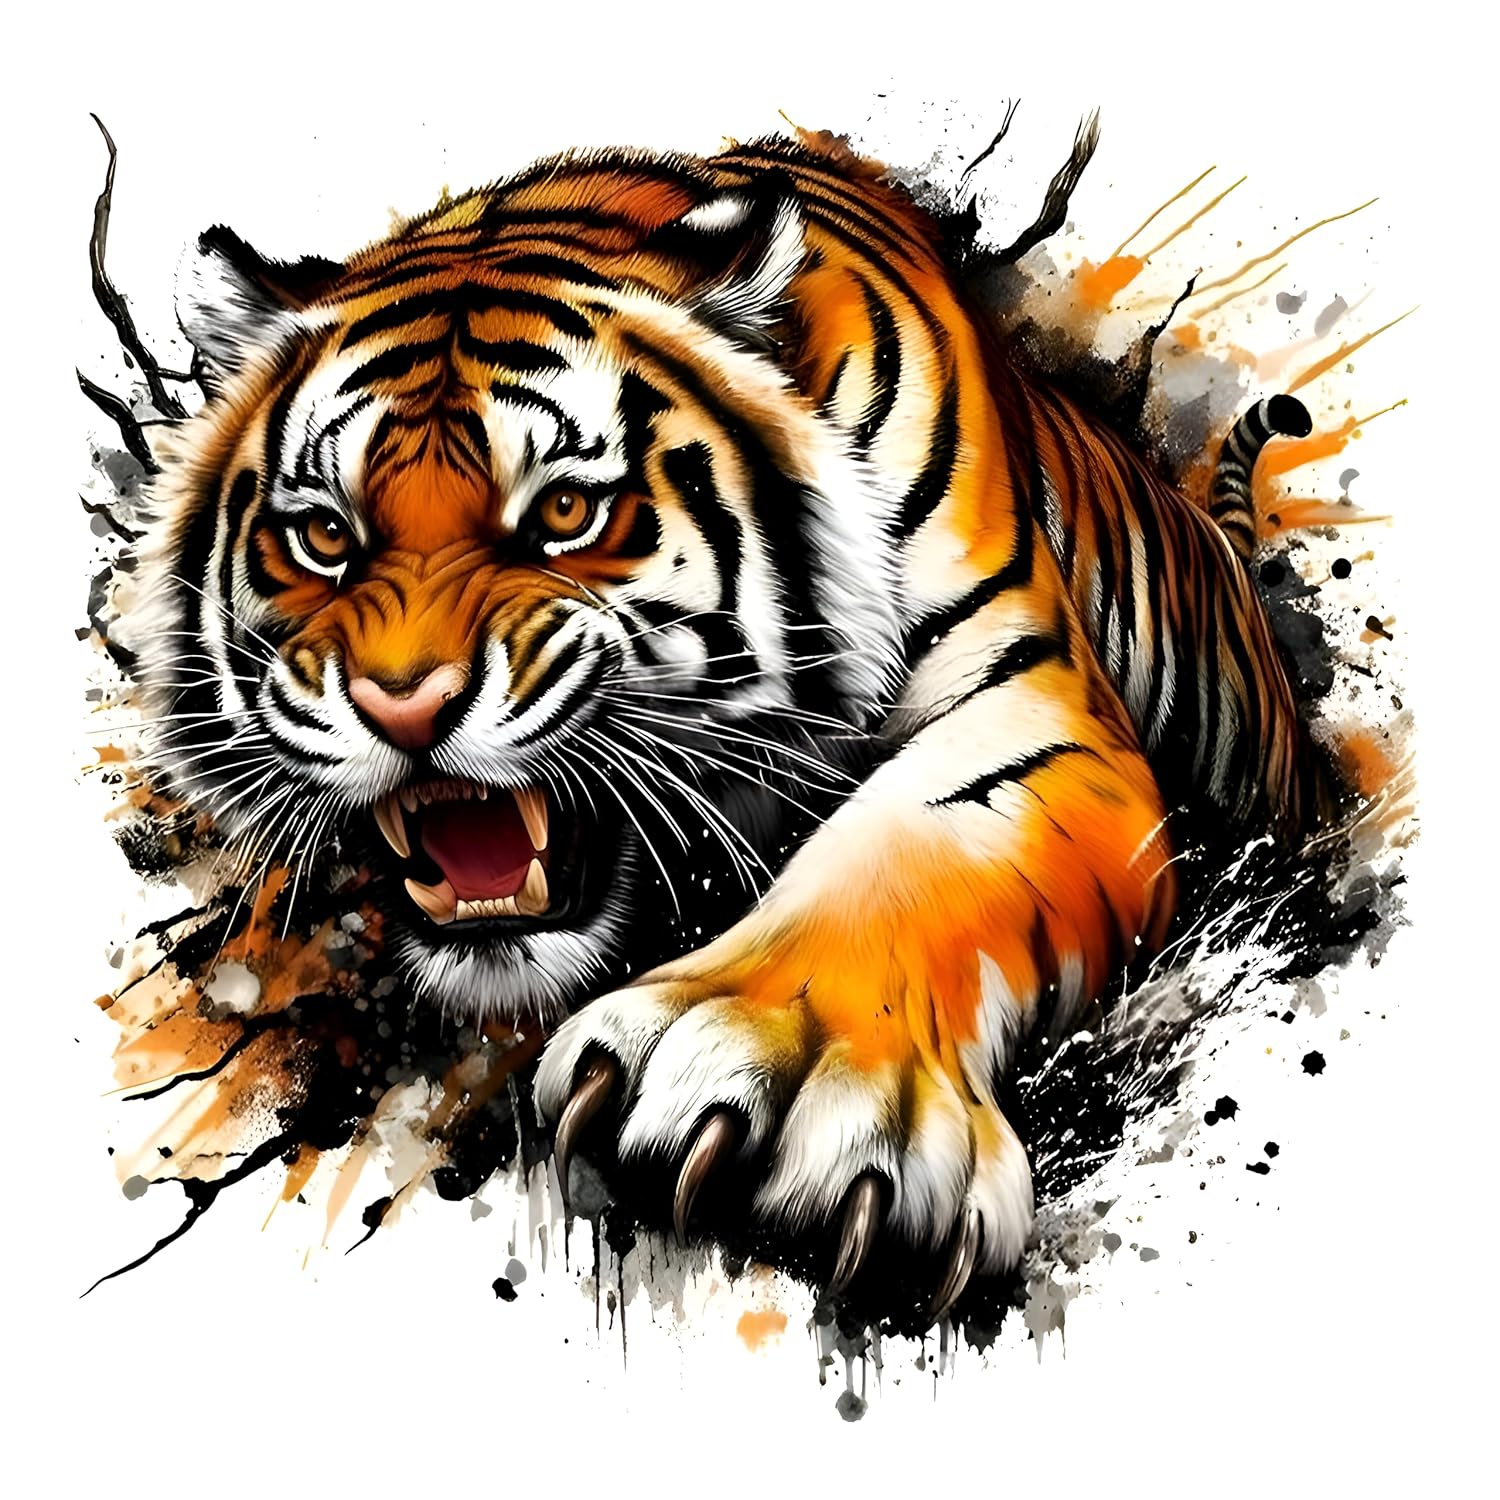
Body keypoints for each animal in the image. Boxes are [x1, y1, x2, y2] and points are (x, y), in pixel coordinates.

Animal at [133, 130, 1326, 1320]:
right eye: (325, 535)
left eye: (567, 512)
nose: (403, 704)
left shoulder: (1034, 700)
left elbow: (915, 841)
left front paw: (786, 1064)